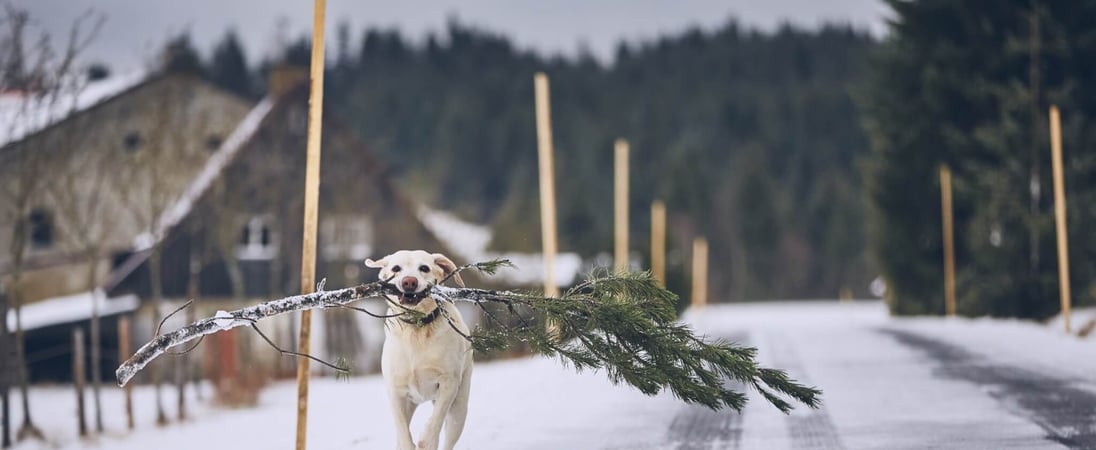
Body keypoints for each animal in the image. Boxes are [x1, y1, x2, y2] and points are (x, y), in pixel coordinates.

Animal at [366, 250, 473, 450]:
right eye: (396, 268)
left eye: (424, 268)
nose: (409, 282)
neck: (416, 328)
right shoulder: (395, 391)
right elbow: (402, 431)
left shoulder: (449, 383)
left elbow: (435, 421)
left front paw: (426, 440)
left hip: (459, 409)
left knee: (449, 436)